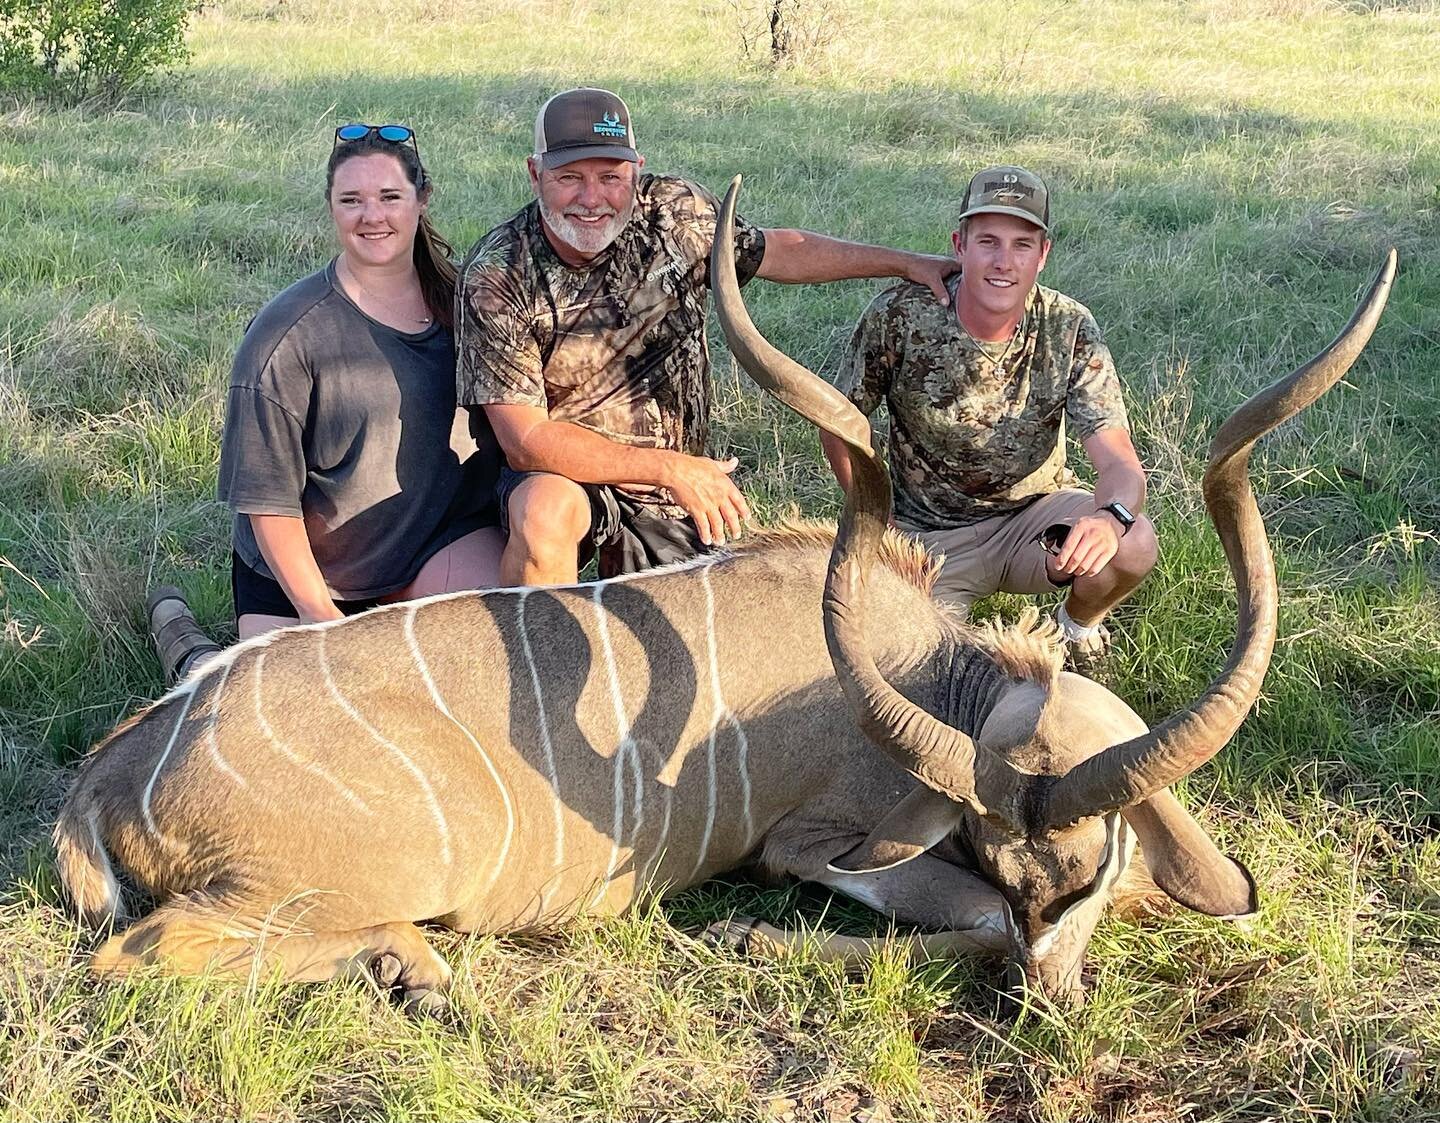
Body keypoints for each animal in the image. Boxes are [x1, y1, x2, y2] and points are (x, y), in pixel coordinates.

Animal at [56, 182, 1393, 1007]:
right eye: (1025, 875)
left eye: (1087, 872)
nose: (1044, 1003)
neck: (935, 674)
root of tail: (115, 773)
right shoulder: (824, 838)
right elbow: (937, 912)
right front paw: (764, 933)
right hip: (316, 886)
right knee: (136, 954)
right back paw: (416, 970)